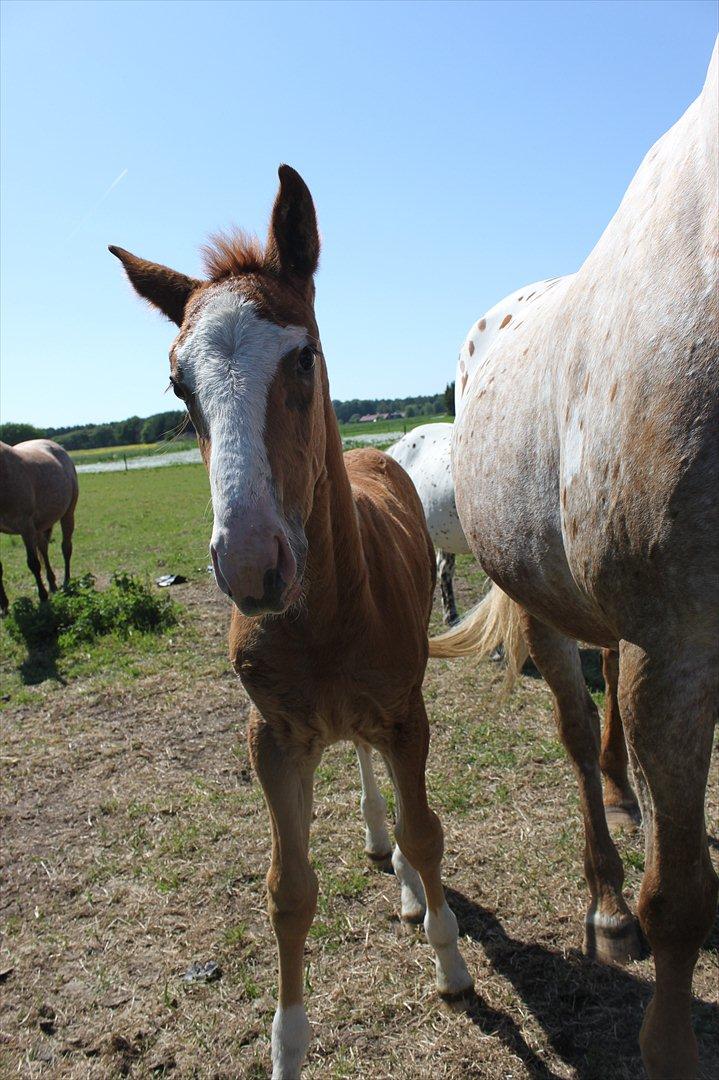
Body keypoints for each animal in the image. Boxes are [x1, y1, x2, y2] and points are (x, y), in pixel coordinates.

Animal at [0, 434, 78, 613]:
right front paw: (4, 606)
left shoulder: (25, 526)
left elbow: (33, 563)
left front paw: (42, 597)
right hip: (41, 525)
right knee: (43, 548)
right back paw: (52, 584)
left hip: (67, 514)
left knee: (66, 548)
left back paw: (66, 582)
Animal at [109, 162, 470, 1080]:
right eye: (178, 386)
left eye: (302, 356)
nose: (249, 564)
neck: (324, 620)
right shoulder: (270, 737)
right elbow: (287, 891)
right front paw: (287, 1044)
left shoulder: (407, 713)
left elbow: (427, 833)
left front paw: (450, 961)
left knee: (390, 788)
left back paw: (414, 892)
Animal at [427, 44, 712, 1080]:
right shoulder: (678, 650)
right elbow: (678, 898)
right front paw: (667, 1047)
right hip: (548, 611)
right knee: (578, 733)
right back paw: (606, 903)